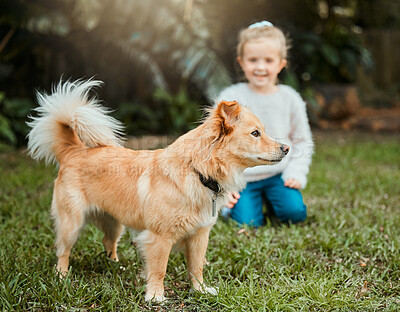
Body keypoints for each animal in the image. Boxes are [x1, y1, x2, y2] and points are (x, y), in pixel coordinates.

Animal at [27, 79, 288, 302]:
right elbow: (159, 269)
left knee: (108, 242)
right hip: (71, 223)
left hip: (115, 222)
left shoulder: (199, 235)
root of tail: (74, 150)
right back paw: (62, 276)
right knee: (63, 250)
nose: (286, 148)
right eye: (255, 133)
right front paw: (155, 296)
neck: (198, 171)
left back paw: (115, 265)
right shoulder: (159, 238)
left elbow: (196, 267)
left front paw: (200, 290)